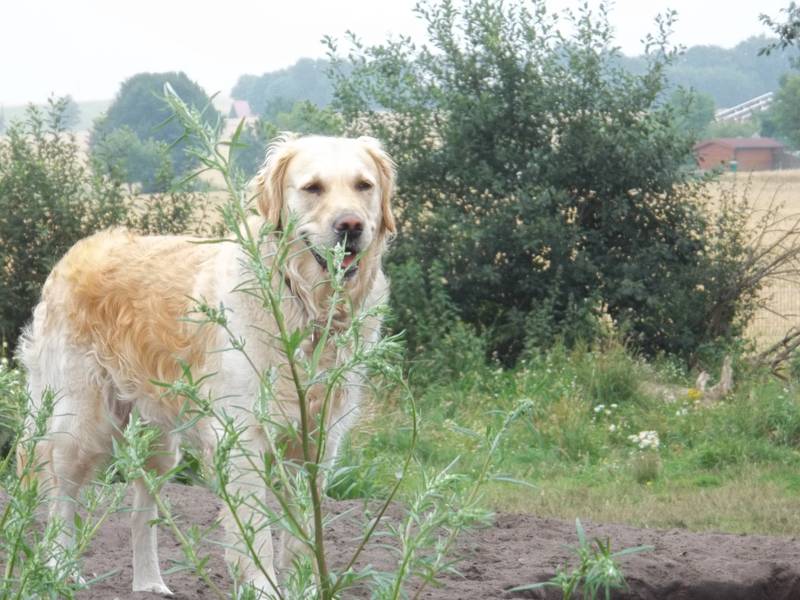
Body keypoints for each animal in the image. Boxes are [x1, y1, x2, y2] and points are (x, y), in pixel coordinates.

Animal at [17, 134, 396, 595]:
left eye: (364, 186)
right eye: (313, 188)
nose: (351, 227)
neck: (303, 305)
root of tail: (75, 251)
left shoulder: (318, 442)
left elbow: (306, 532)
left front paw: (305, 588)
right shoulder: (243, 435)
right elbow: (256, 534)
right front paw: (264, 588)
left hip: (159, 440)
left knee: (144, 509)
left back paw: (150, 583)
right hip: (81, 419)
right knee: (61, 495)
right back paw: (59, 571)